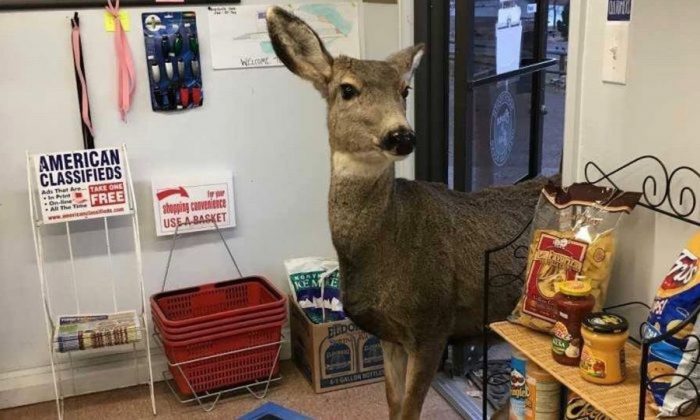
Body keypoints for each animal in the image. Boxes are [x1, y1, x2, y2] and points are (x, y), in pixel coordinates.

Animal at [266, 7, 548, 420]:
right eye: (347, 89)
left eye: (404, 91)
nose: (401, 135)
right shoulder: (389, 335)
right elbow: (393, 402)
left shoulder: (433, 325)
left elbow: (410, 409)